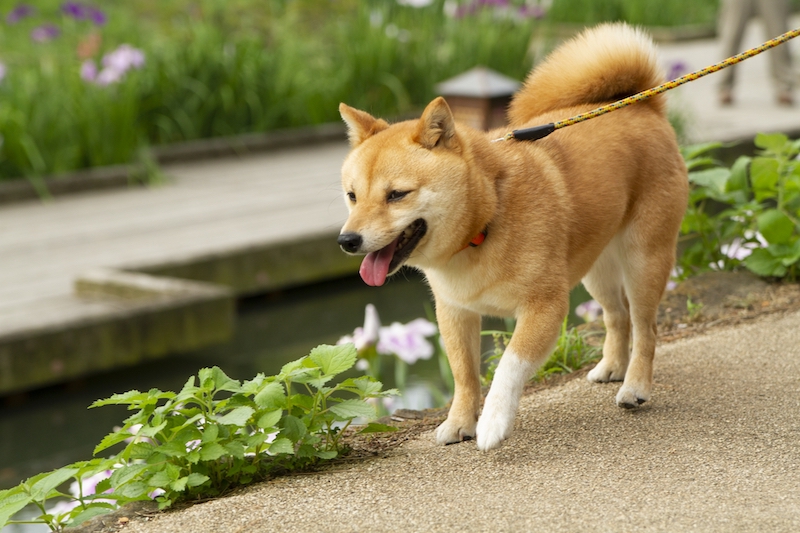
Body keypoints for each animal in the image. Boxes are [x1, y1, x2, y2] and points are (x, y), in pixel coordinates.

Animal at [336, 23, 688, 448]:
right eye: (352, 196)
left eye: (396, 195)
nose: (347, 241)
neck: (486, 219)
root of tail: (641, 106)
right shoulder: (455, 311)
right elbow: (463, 374)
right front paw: (459, 422)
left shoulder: (544, 307)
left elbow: (508, 366)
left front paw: (491, 423)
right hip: (596, 270)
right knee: (616, 316)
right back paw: (611, 368)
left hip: (643, 261)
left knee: (645, 327)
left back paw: (635, 386)